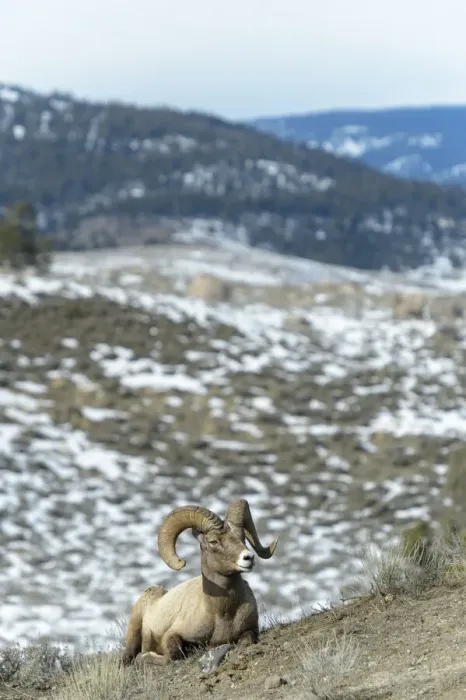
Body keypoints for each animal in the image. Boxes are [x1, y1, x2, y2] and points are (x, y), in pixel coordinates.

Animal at [121, 498, 279, 666]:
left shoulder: (251, 629)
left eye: (242, 537)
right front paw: (143, 657)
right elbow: (174, 655)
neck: (222, 612)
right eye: (213, 541)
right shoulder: (171, 635)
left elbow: (247, 640)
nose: (248, 557)